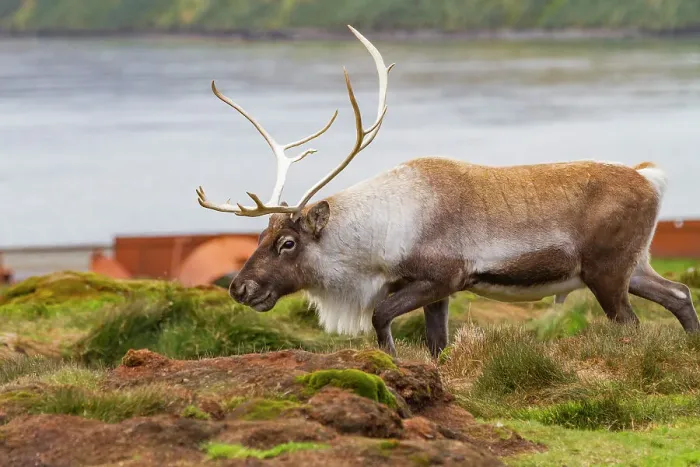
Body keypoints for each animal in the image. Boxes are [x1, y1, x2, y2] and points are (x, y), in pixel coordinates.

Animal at [196, 25, 700, 358]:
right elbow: (437, 345)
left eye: (287, 242)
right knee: (679, 293)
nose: (240, 287)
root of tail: (650, 178)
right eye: (260, 236)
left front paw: (391, 363)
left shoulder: (443, 277)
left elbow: (381, 318)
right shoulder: (437, 293)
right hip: (633, 265)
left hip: (606, 271)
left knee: (633, 323)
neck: (379, 240)